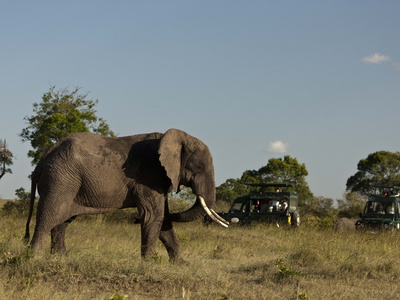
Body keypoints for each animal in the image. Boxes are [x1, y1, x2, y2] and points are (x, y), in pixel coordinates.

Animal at [25, 129, 227, 262]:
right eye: (198, 167)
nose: (133, 219)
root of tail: (43, 160)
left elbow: (163, 219)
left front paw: (180, 264)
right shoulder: (149, 175)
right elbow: (154, 216)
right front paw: (148, 264)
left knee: (61, 222)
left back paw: (61, 259)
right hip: (60, 179)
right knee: (49, 216)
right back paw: (34, 258)